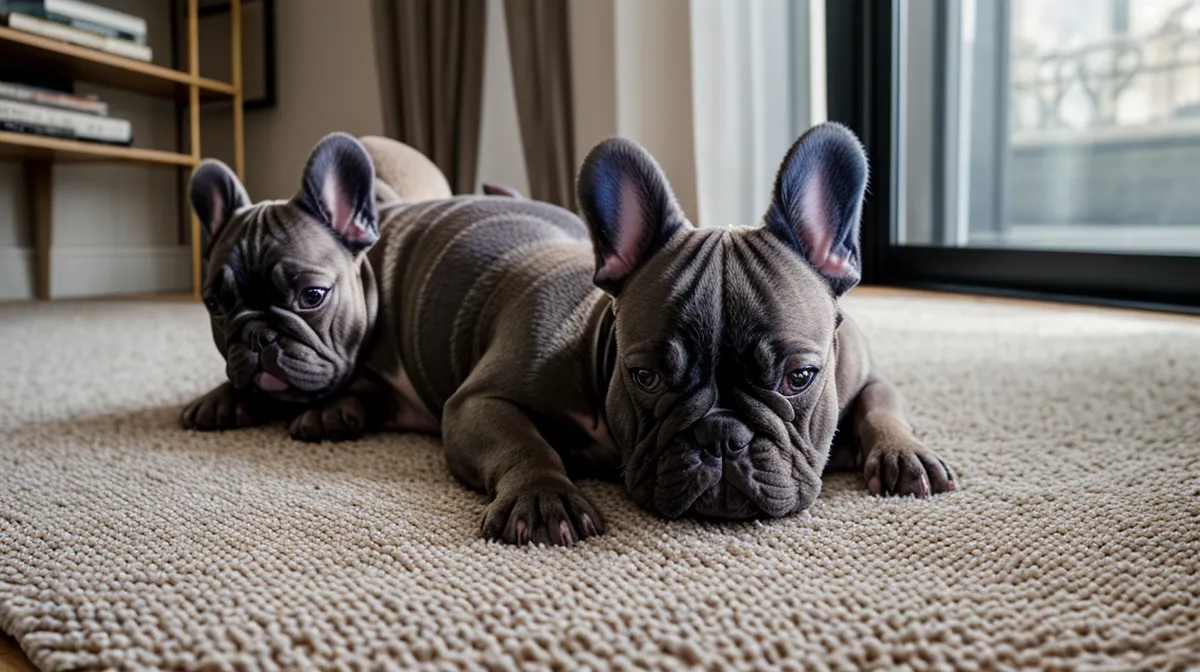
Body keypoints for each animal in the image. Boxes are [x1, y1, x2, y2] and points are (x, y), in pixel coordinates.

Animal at [183, 123, 956, 546]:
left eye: (799, 377)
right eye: (645, 376)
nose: (721, 436)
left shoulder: (863, 370)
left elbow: (883, 405)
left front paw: (903, 453)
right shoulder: (476, 404)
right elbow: (523, 443)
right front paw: (544, 498)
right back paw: (242, 400)